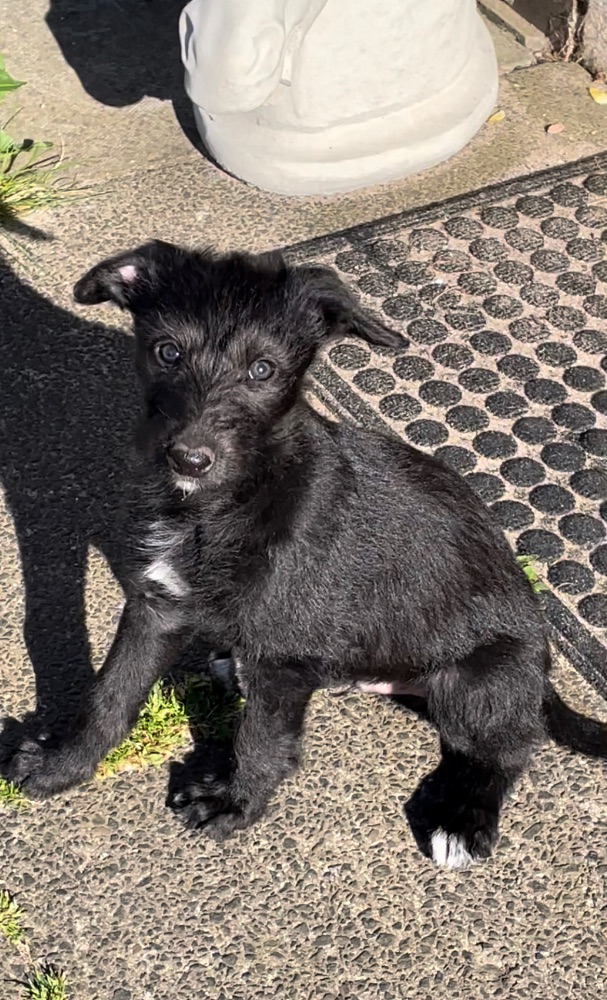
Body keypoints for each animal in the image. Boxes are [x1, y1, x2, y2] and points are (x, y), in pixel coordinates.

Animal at [4, 238, 607, 864]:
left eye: (262, 370)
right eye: (168, 352)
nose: (189, 459)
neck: (228, 502)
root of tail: (542, 676)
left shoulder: (284, 656)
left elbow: (262, 739)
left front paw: (235, 803)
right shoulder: (158, 604)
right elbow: (111, 692)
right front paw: (62, 765)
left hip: (477, 680)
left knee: (506, 748)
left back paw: (463, 818)